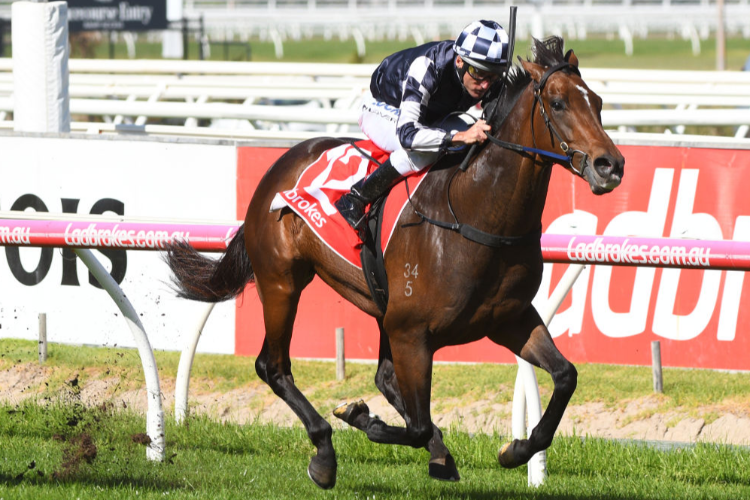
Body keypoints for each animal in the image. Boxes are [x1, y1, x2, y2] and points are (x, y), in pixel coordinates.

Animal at [167, 37, 624, 490]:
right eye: (558, 103)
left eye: (599, 102)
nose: (611, 165)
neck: (475, 212)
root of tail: (281, 162)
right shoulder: (412, 333)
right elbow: (416, 425)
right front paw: (358, 416)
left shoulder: (508, 318)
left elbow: (565, 376)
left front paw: (515, 450)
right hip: (281, 281)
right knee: (273, 366)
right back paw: (325, 453)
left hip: (378, 306)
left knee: (384, 379)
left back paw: (438, 455)